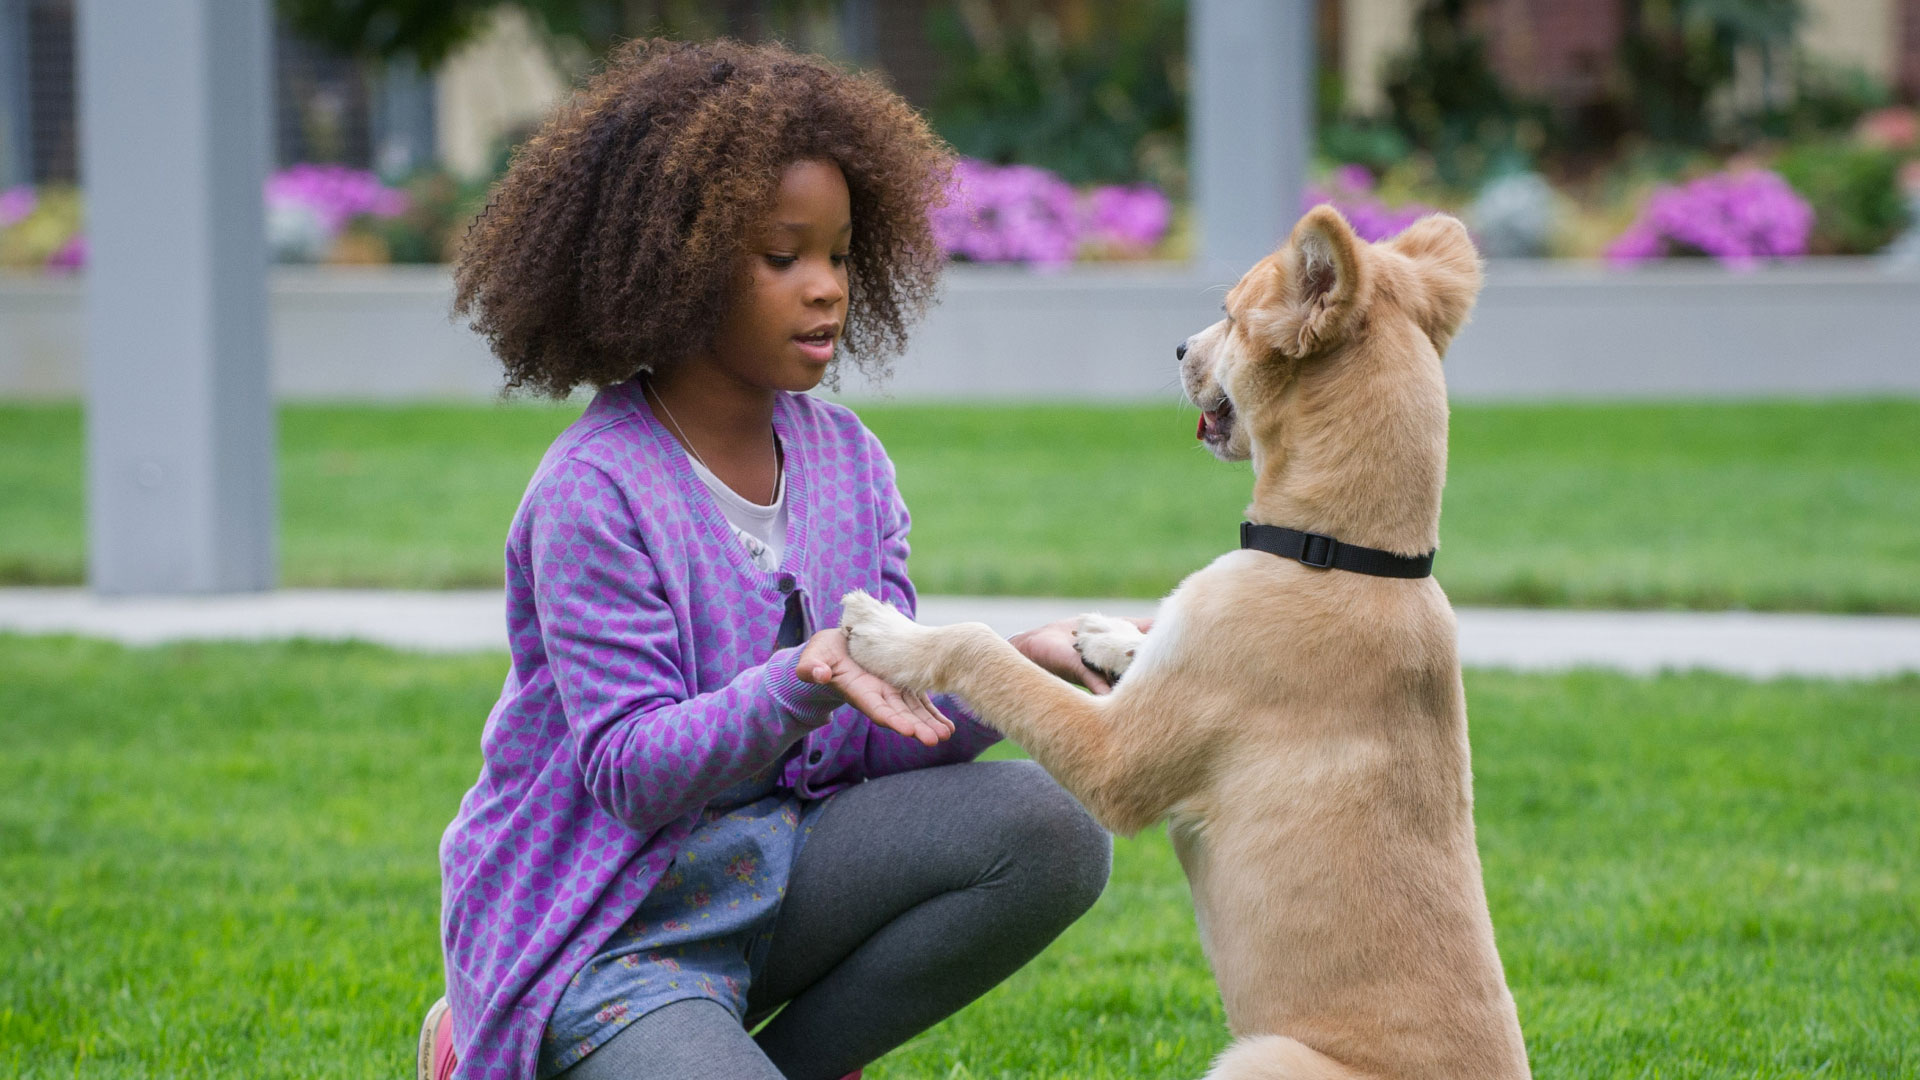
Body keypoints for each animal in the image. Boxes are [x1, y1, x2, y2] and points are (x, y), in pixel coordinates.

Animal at [840, 203, 1528, 1076]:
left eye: (1230, 317)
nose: (1175, 347)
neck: (1343, 555)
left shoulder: (1115, 763)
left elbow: (981, 646)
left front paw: (891, 634)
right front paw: (1107, 637)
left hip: (1261, 1056)